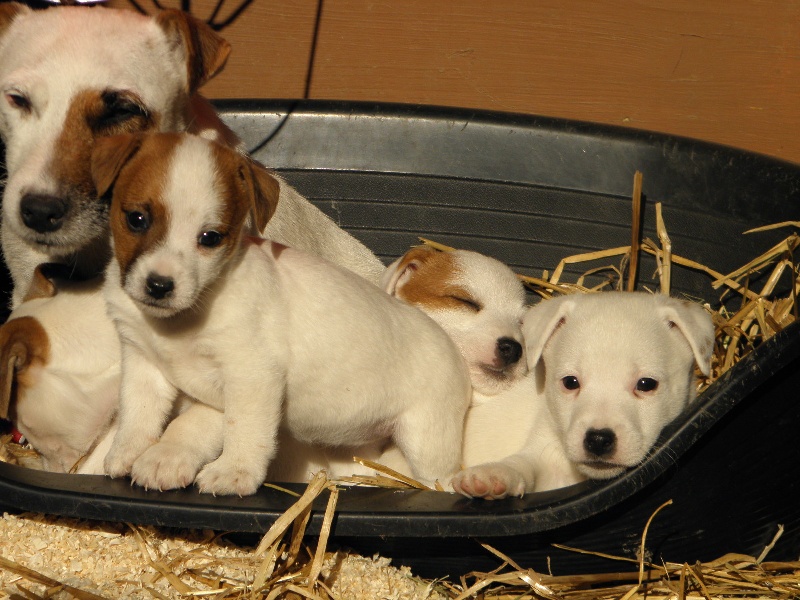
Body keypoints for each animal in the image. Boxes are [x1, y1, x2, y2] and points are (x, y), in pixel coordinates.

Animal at [91, 132, 472, 496]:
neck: (185, 318)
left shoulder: (251, 375)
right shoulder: (143, 363)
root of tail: (453, 350)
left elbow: (243, 429)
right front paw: (128, 453)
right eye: (137, 219)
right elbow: (138, 414)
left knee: (440, 479)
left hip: (426, 439)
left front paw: (234, 473)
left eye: (210, 237)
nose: (159, 285)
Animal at [454, 292, 716, 500]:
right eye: (570, 382)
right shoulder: (542, 453)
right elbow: (522, 464)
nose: (598, 440)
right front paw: (494, 475)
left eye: (646, 384)